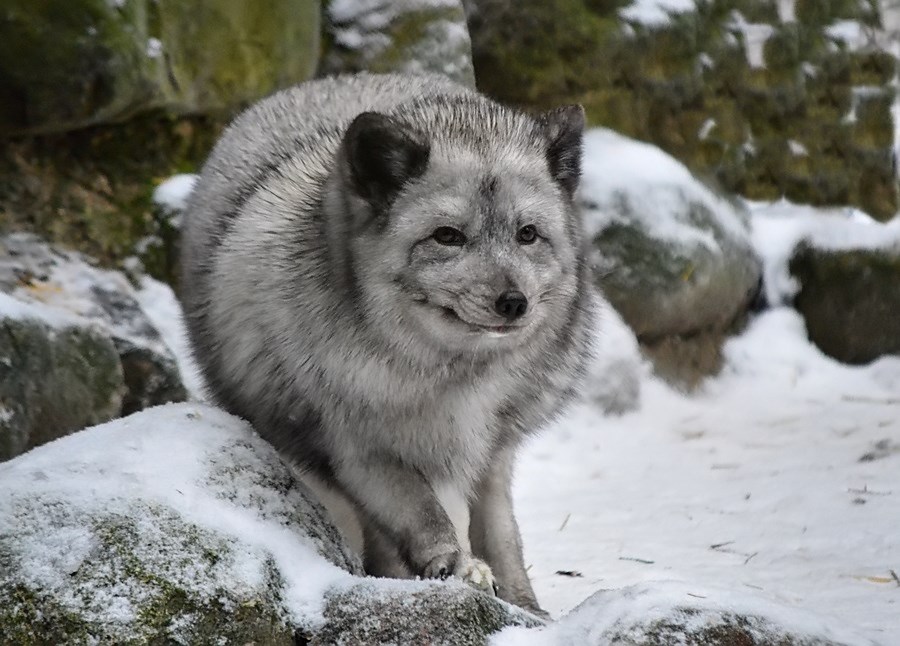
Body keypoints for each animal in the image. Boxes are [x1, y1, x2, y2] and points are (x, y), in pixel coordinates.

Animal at [179, 72, 596, 616]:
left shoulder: (494, 448)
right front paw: (455, 569)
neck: (456, 378)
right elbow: (425, 516)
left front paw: (523, 604)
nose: (514, 302)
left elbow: (501, 531)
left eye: (527, 234)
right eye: (448, 236)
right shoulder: (360, 449)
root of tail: (332, 81)